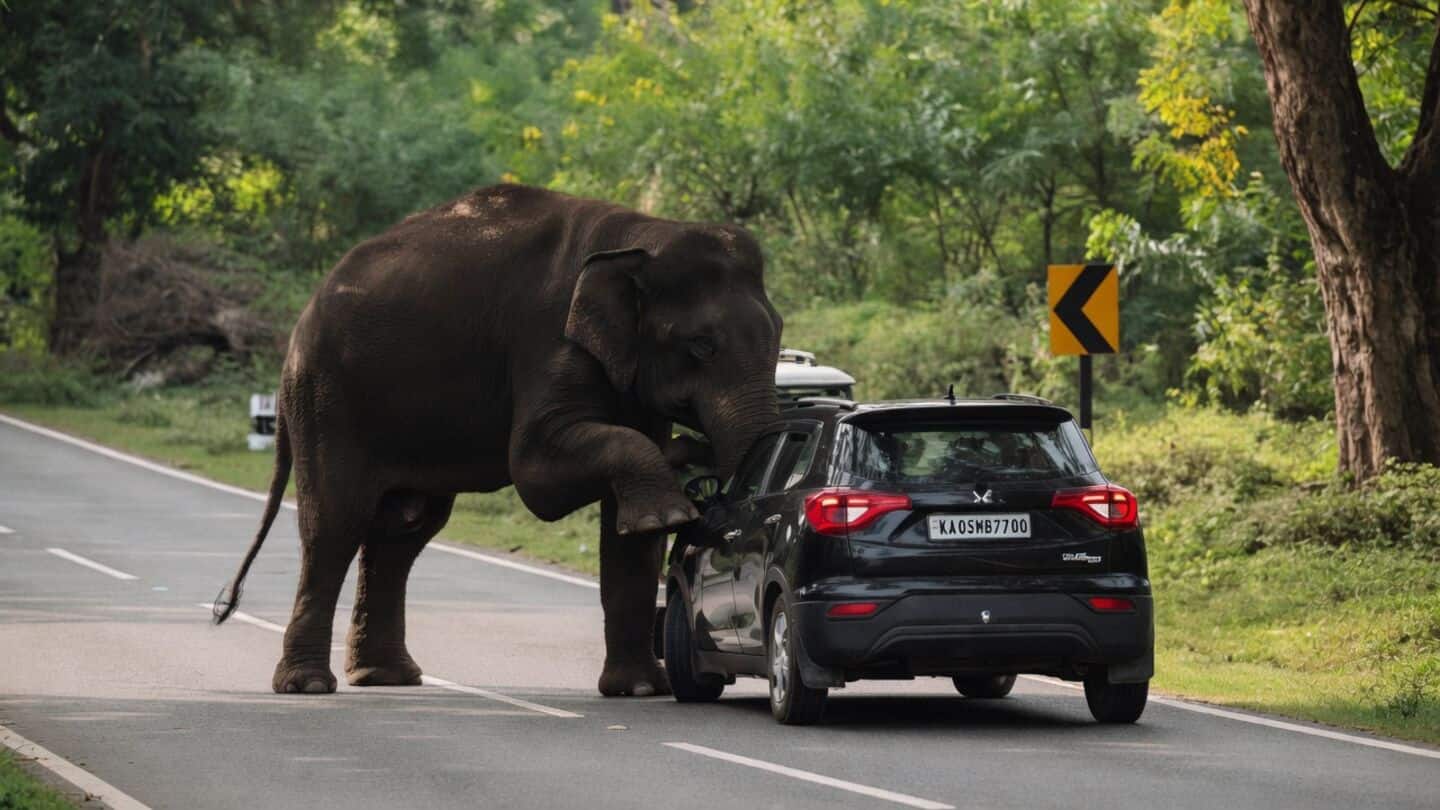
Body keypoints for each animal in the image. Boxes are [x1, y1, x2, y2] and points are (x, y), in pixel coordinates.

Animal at [213, 184, 783, 698]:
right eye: (701, 345)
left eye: (778, 334)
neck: (638, 233)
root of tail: (300, 322)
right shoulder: (548, 341)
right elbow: (536, 473)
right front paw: (672, 505)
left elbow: (632, 538)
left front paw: (640, 690)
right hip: (327, 398)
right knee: (334, 525)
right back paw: (308, 685)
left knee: (401, 533)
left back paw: (386, 677)